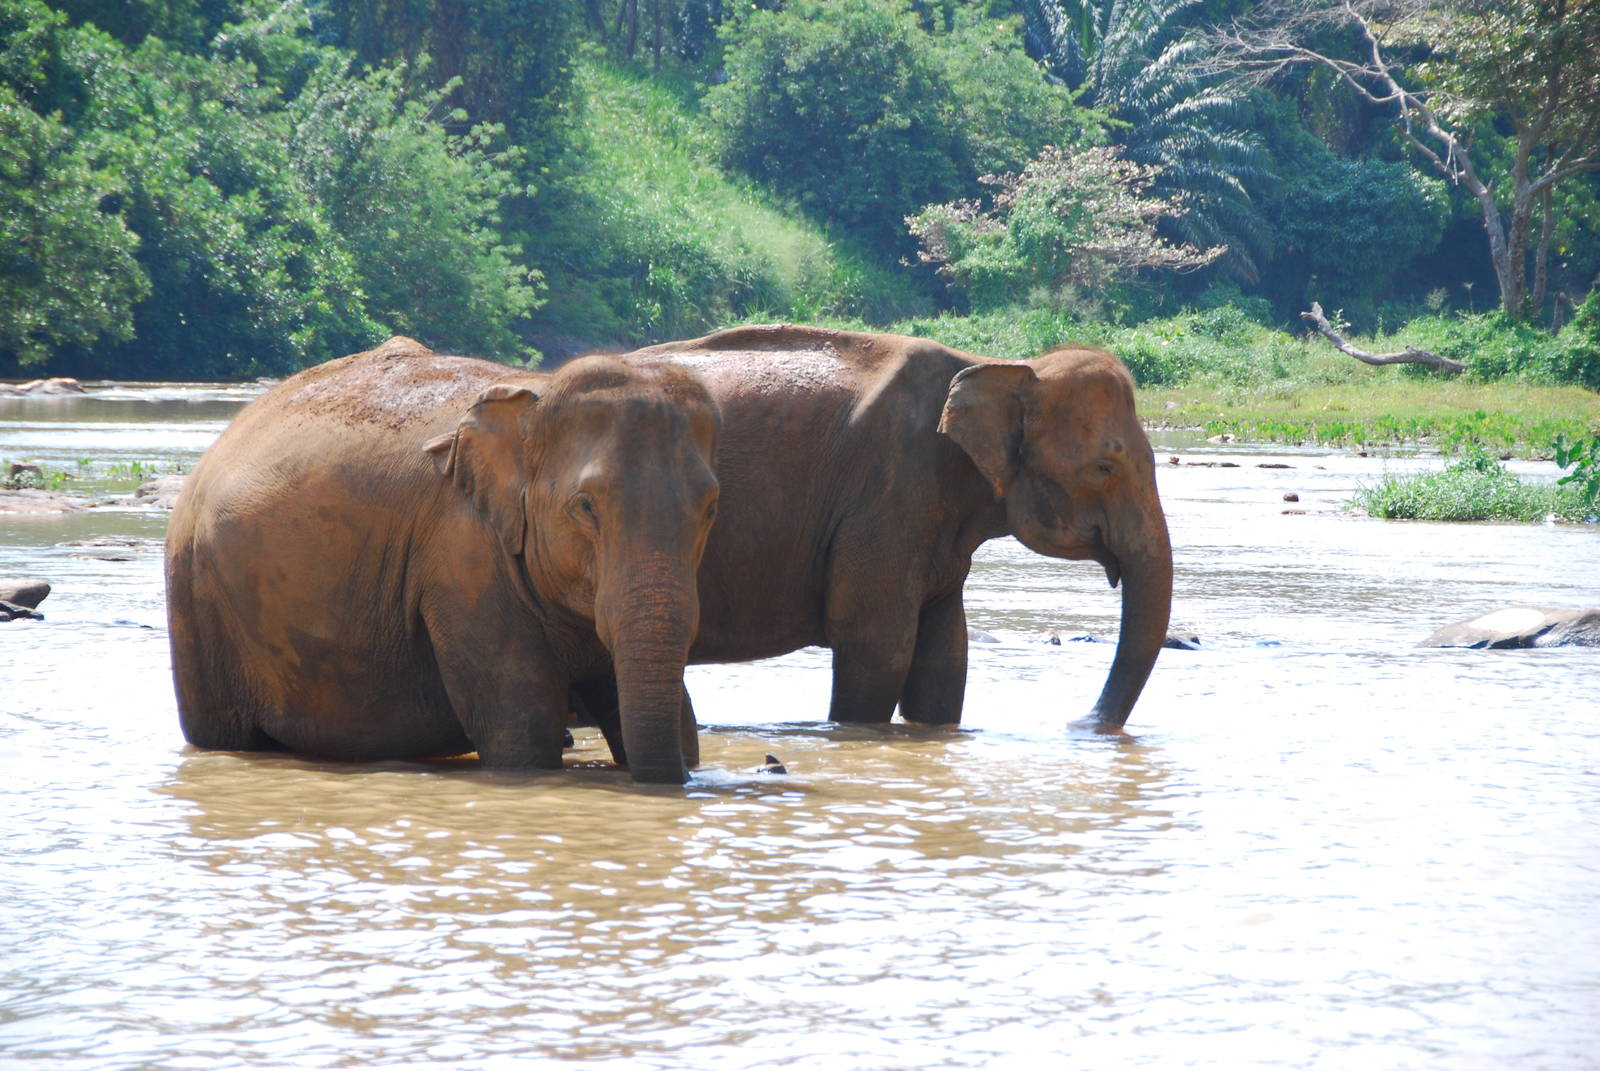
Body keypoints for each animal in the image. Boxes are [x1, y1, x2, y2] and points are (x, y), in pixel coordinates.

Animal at [165, 336, 720, 784]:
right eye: (585, 507)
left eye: (711, 506)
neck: (534, 396)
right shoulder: (462, 555)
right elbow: (523, 728)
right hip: (195, 599)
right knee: (223, 735)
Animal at [622, 324, 1172, 731]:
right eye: (1104, 468)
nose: (1077, 723)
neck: (1004, 365)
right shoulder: (889, 493)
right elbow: (877, 645)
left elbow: (945, 655)